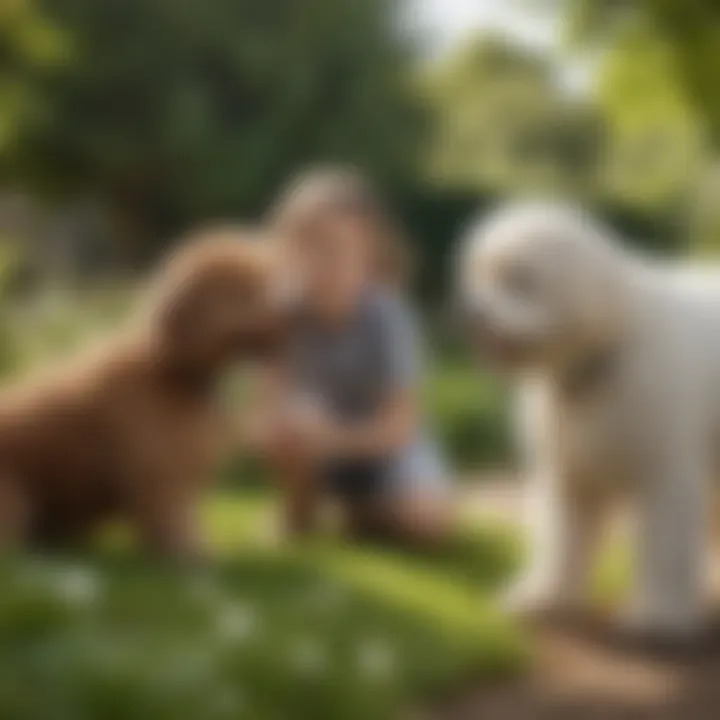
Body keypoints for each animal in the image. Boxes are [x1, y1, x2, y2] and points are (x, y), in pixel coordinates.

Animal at [0, 229, 284, 556]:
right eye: (249, 291)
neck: (171, 372)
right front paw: (186, 553)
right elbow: (172, 519)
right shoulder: (160, 472)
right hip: (14, 501)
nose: (292, 307)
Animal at [458, 201, 720, 636]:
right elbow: (563, 537)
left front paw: (657, 615)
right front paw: (546, 596)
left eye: (521, 279)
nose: (469, 314)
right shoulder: (569, 472)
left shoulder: (665, 473)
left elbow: (664, 545)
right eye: (481, 276)